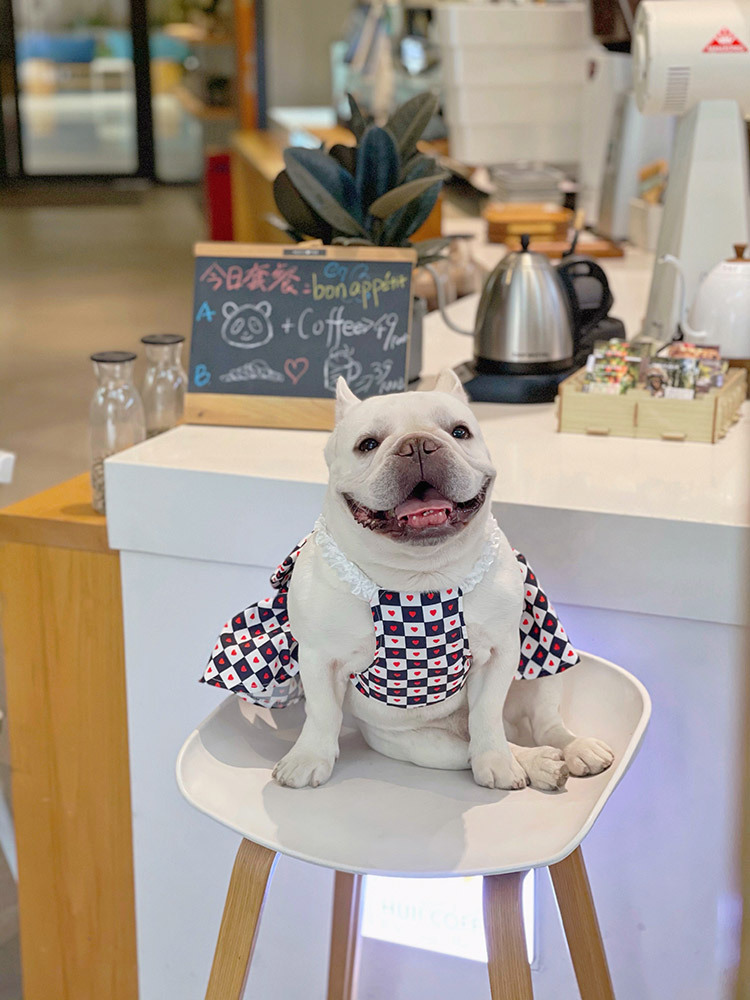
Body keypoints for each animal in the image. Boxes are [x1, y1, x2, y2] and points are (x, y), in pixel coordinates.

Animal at [266, 370, 614, 790]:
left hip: (541, 674)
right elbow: (321, 712)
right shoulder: (318, 657)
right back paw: (540, 762)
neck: (420, 577)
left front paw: (496, 762)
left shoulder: (501, 651)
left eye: (460, 431)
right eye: (367, 444)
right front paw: (308, 758)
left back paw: (572, 750)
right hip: (425, 746)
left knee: (542, 723)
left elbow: (487, 714)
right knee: (473, 748)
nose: (417, 444)